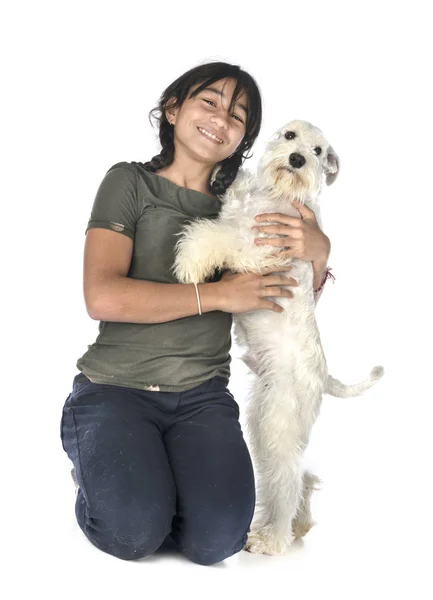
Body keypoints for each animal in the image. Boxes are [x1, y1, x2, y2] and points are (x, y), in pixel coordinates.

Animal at [170, 119, 384, 556]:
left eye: (320, 151)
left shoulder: (258, 248)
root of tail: (324, 377)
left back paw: (272, 538)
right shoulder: (242, 215)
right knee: (295, 479)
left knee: (287, 480)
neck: (277, 195)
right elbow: (228, 209)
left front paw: (189, 262)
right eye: (290, 136)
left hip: (279, 423)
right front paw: (228, 176)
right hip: (264, 417)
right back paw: (293, 525)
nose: (299, 159)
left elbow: (215, 234)